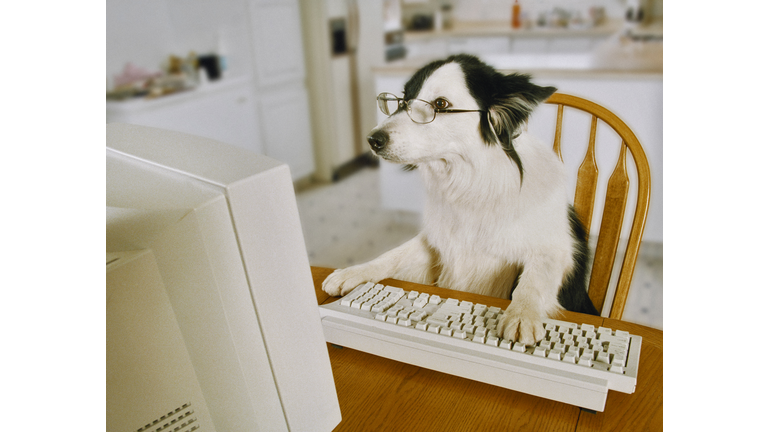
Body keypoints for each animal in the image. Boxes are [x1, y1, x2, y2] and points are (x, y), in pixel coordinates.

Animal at [320, 54, 596, 344]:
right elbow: (391, 255)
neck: (471, 186)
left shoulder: (558, 249)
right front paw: (351, 272)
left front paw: (522, 314)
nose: (372, 140)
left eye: (440, 104)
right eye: (402, 99)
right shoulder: (436, 243)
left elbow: (535, 278)